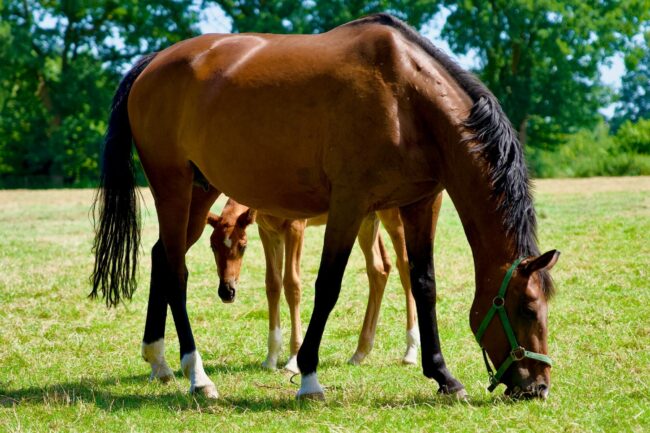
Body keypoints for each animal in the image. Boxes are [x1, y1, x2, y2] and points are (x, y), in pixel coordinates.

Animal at [207, 196, 445, 371]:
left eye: (243, 246)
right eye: (212, 246)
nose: (227, 292)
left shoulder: (295, 227)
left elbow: (292, 284)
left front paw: (293, 359)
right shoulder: (268, 232)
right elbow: (272, 284)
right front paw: (271, 358)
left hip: (395, 217)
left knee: (405, 267)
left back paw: (410, 351)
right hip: (367, 220)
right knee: (378, 269)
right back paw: (360, 352)